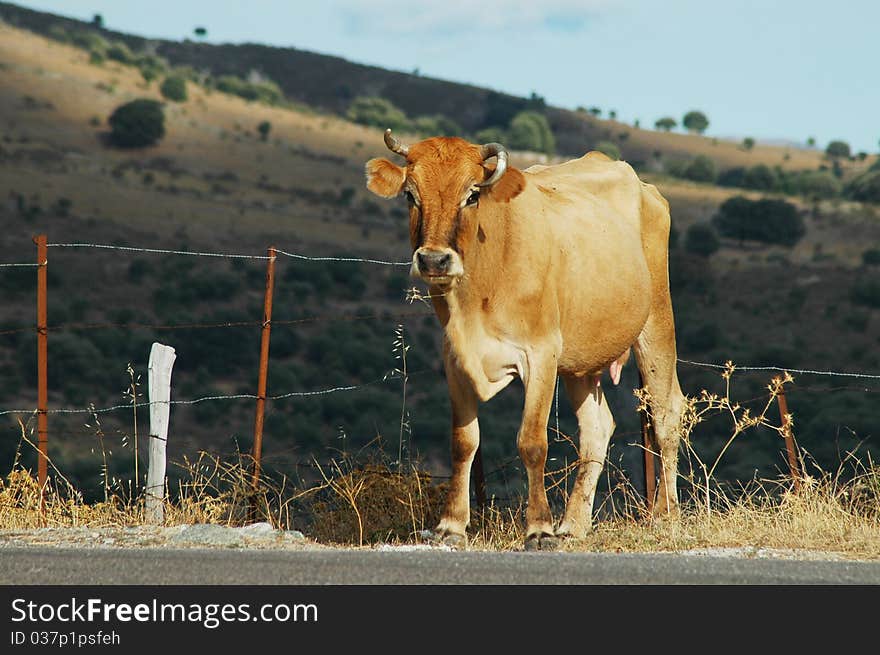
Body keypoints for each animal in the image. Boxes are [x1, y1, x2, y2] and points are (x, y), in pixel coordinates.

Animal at [364, 128, 688, 548]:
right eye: (410, 195)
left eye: (472, 194)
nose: (434, 260)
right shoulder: (455, 357)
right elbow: (463, 442)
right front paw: (451, 525)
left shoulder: (541, 354)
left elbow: (532, 442)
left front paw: (538, 529)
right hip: (581, 360)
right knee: (597, 427)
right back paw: (573, 524)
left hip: (656, 322)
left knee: (666, 415)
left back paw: (665, 516)